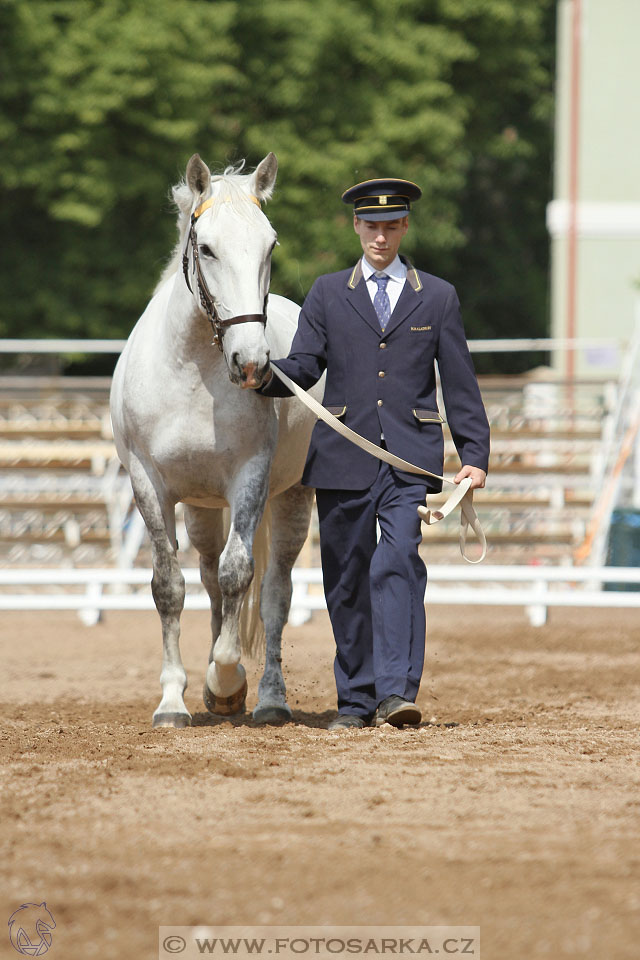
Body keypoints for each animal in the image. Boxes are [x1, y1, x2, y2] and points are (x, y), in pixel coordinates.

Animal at [112, 152, 320, 728]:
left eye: (270, 245)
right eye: (206, 248)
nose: (252, 363)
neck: (192, 372)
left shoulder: (250, 477)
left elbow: (237, 575)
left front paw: (226, 680)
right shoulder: (150, 485)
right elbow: (169, 586)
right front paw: (172, 702)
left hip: (292, 497)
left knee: (274, 592)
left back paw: (268, 699)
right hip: (202, 508)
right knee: (204, 578)